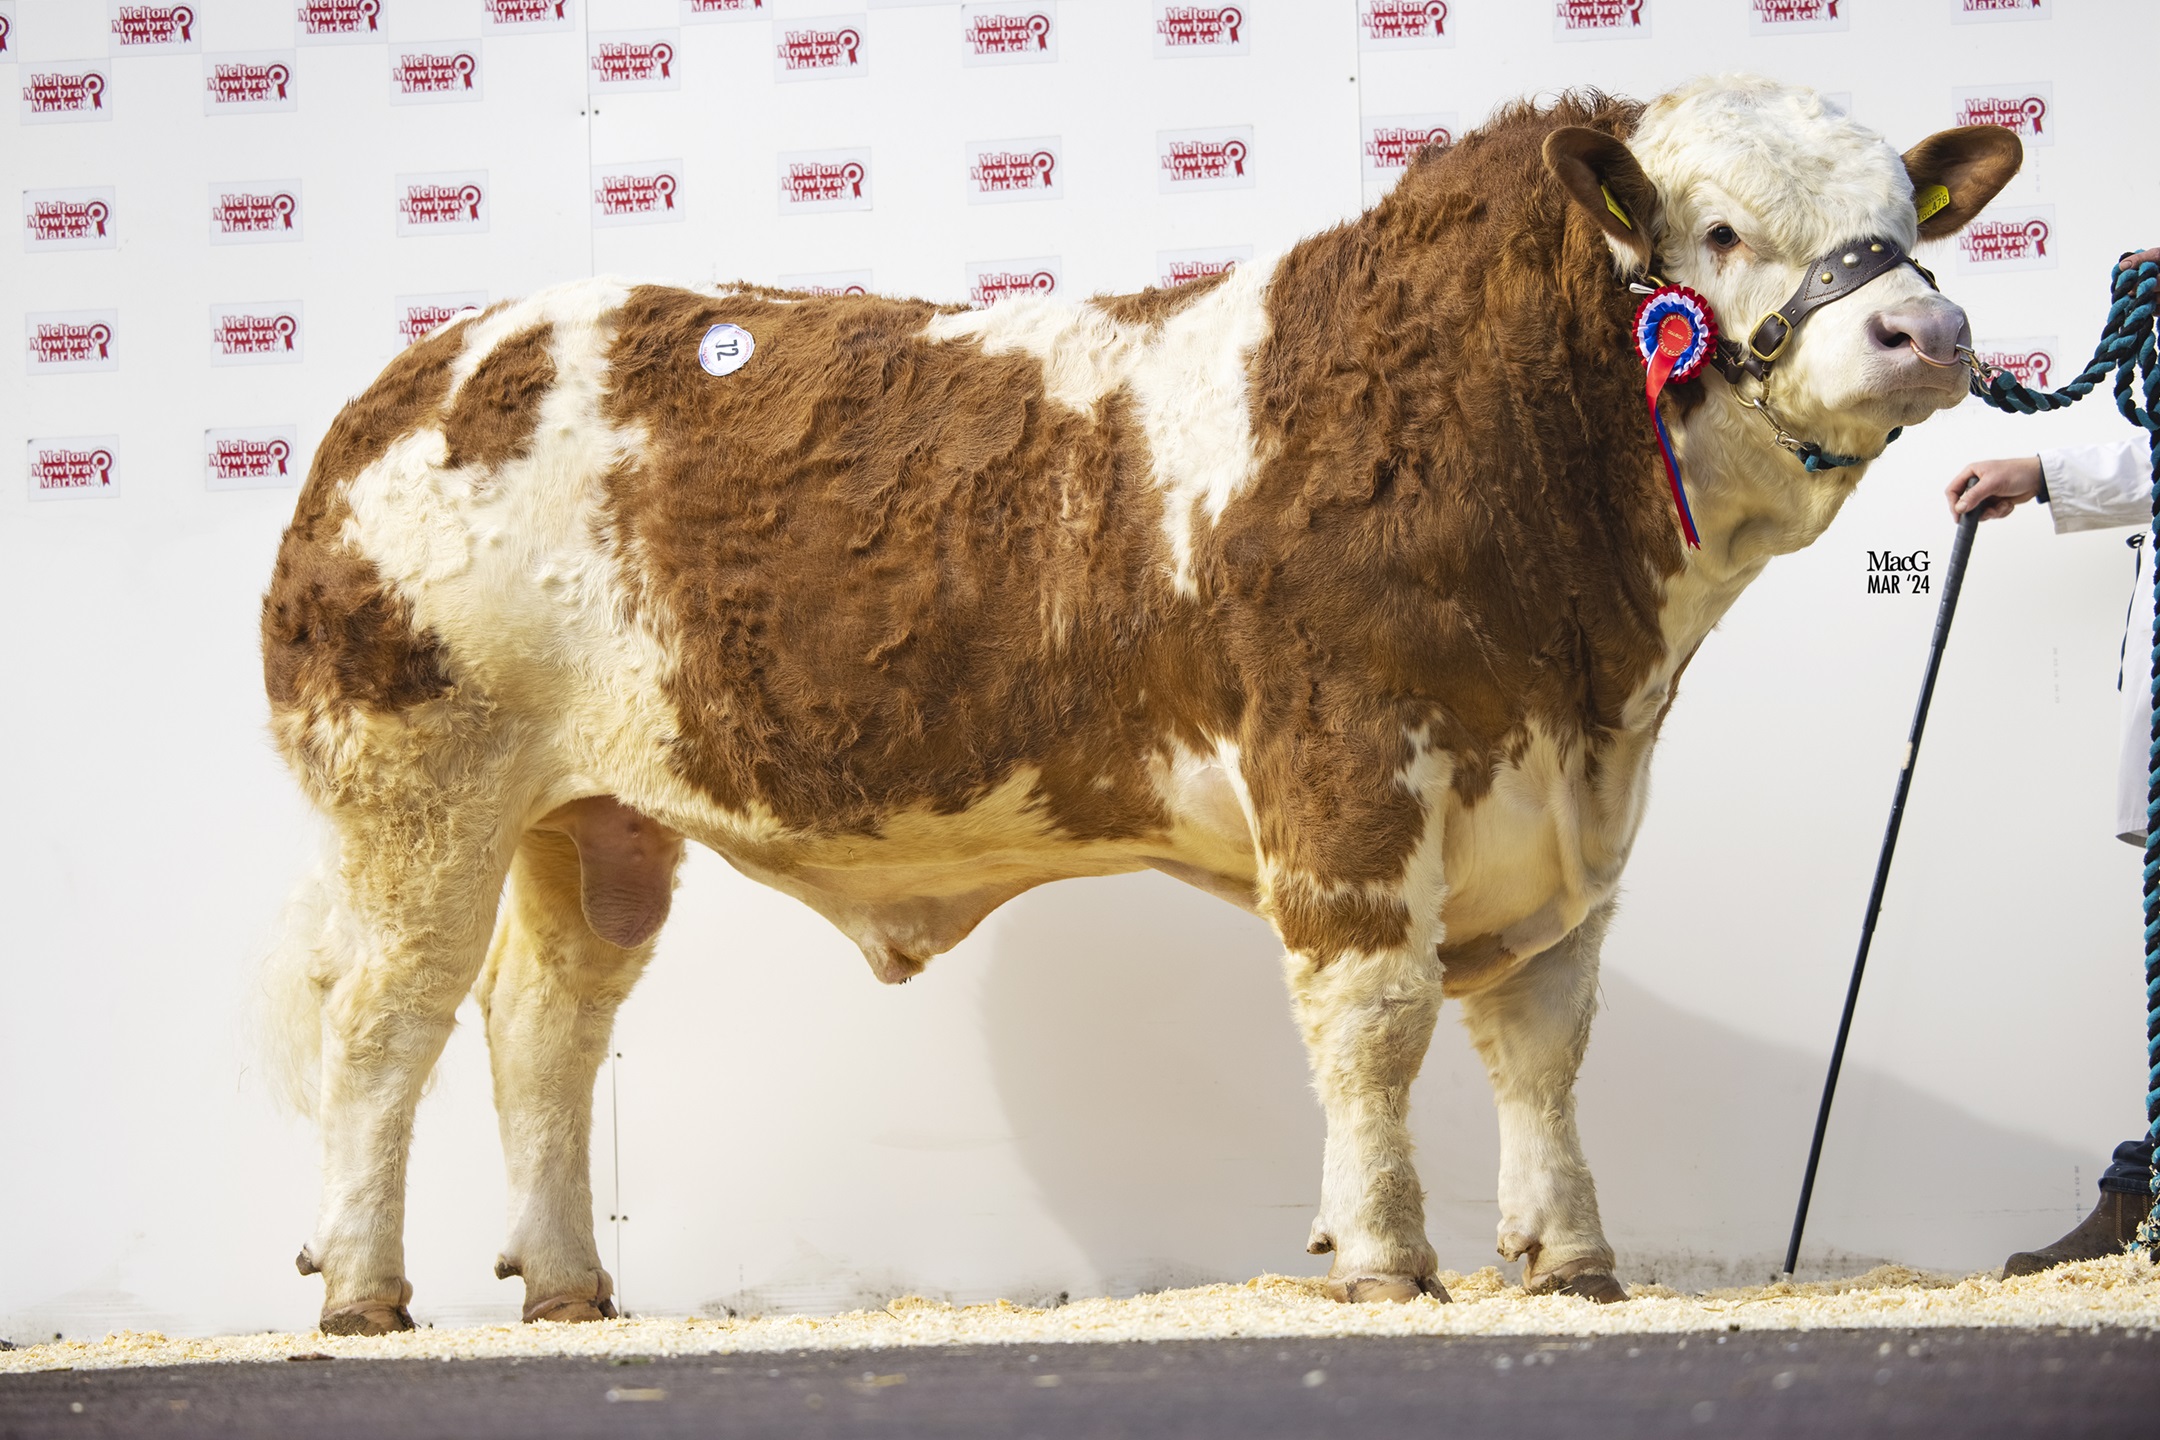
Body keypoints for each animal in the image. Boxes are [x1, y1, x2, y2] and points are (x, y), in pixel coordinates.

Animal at [261, 78, 2013, 1338]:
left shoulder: (1562, 808)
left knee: (545, 1026)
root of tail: (410, 381)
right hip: (417, 785)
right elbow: (1375, 1018)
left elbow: (1543, 1039)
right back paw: (362, 1295)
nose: (1928, 330)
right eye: (1717, 229)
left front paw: (1574, 1257)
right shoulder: (1345, 764)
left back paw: (569, 1286)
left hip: (595, 819)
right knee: (383, 1024)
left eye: (1900, 218)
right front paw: (1384, 1258)